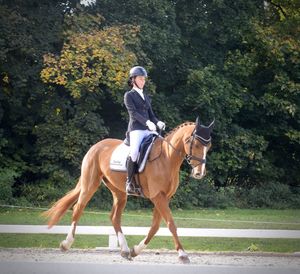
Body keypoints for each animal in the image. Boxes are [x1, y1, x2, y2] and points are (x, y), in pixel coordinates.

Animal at [43, 116, 214, 264]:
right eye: (196, 144)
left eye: (208, 146)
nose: (199, 173)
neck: (167, 158)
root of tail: (96, 146)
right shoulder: (158, 196)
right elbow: (171, 224)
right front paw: (183, 254)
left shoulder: (164, 197)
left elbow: (155, 226)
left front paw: (135, 251)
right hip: (90, 184)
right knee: (78, 208)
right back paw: (66, 244)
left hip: (119, 192)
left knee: (114, 217)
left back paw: (125, 251)